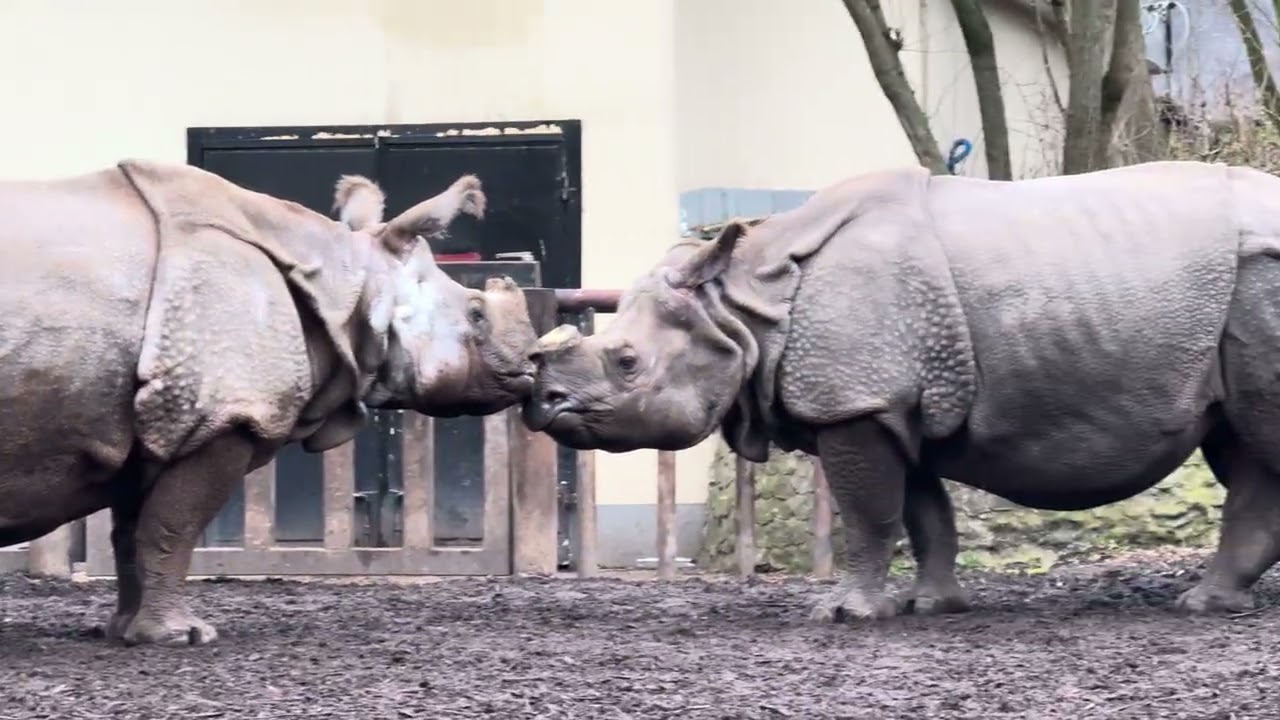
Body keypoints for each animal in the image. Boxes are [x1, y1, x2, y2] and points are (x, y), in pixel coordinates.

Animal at [0, 160, 538, 645]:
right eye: (476, 314)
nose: (533, 363)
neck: (349, 281)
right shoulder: (223, 414)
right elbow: (173, 525)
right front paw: (183, 637)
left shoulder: (157, 423)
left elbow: (133, 532)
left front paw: (126, 632)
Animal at [523, 160, 1280, 622]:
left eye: (625, 362)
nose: (545, 403)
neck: (746, 305)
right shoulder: (887, 403)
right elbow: (922, 511)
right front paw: (932, 606)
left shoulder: (856, 403)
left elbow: (869, 512)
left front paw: (845, 614)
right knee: (1241, 447)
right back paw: (1210, 603)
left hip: (1261, 279)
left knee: (1257, 439)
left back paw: (1209, 606)